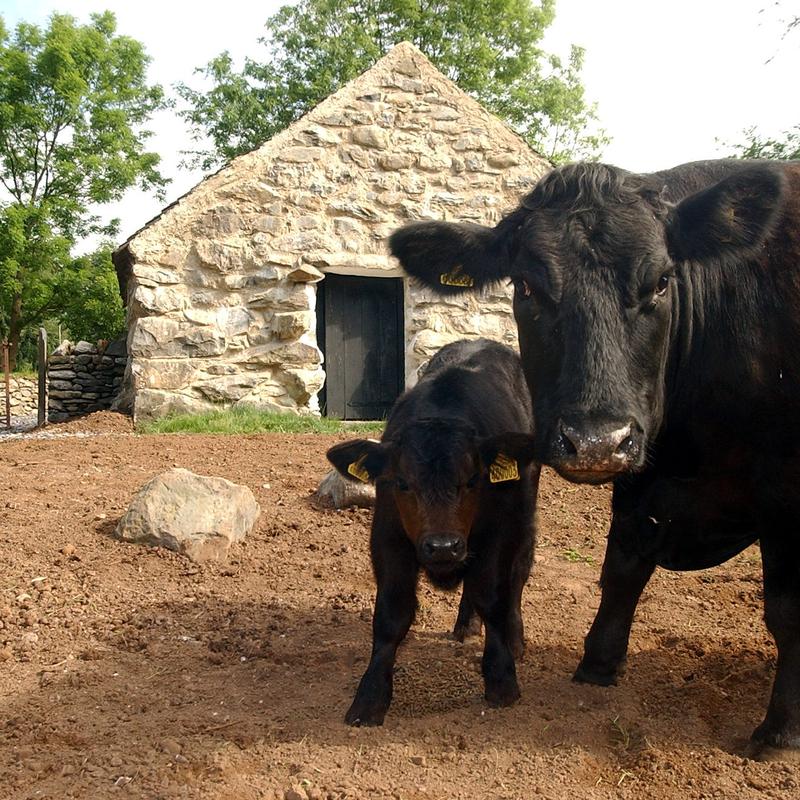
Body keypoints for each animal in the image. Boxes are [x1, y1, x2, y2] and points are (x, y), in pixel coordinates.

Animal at [327, 339, 539, 726]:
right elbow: (391, 615)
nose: (443, 546)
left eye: (472, 480)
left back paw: (514, 638)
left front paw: (501, 678)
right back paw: (465, 625)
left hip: (525, 512)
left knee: (518, 572)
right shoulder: (388, 538)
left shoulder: (498, 532)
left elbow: (492, 596)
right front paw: (369, 699)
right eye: (402, 483)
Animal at [388, 159, 800, 756]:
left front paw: (781, 731)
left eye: (661, 282)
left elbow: (787, 612)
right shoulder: (642, 482)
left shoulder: (786, 496)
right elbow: (623, 568)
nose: (597, 440)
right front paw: (597, 667)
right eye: (527, 285)